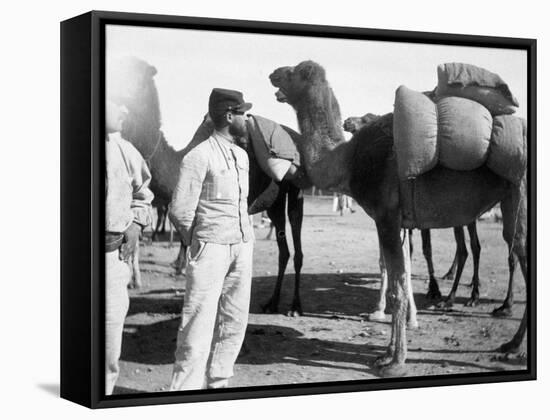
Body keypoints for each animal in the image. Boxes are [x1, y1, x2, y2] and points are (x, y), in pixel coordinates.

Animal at [108, 57, 306, 316]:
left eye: (132, 75)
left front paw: (180, 271)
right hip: (274, 201)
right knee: (283, 249)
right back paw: (272, 302)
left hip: (295, 191)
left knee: (297, 244)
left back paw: (294, 306)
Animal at [348, 113, 486, 310]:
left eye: (367, 120)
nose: (347, 122)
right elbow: (406, 249)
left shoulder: (419, 217)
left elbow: (426, 249)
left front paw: (433, 289)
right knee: (463, 246)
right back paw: (451, 275)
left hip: (467, 213)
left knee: (474, 246)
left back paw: (474, 292)